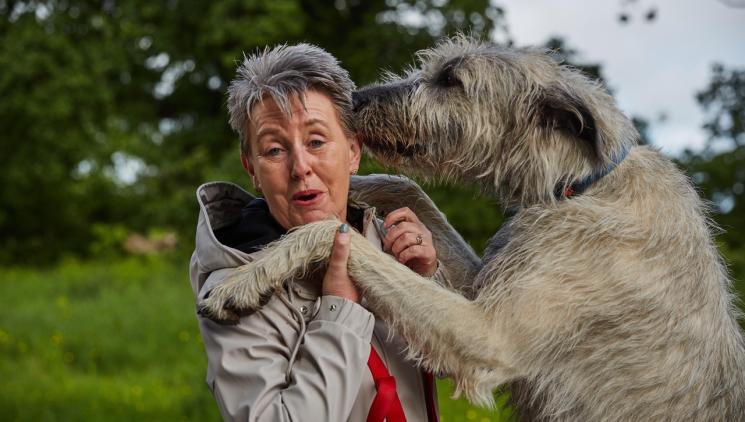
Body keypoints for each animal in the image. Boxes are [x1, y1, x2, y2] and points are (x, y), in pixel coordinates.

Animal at [198, 38, 744, 420]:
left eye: (452, 80)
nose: (356, 99)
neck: (583, 184)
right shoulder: (487, 279)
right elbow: (405, 187)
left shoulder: (488, 336)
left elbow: (334, 231)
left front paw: (242, 280)